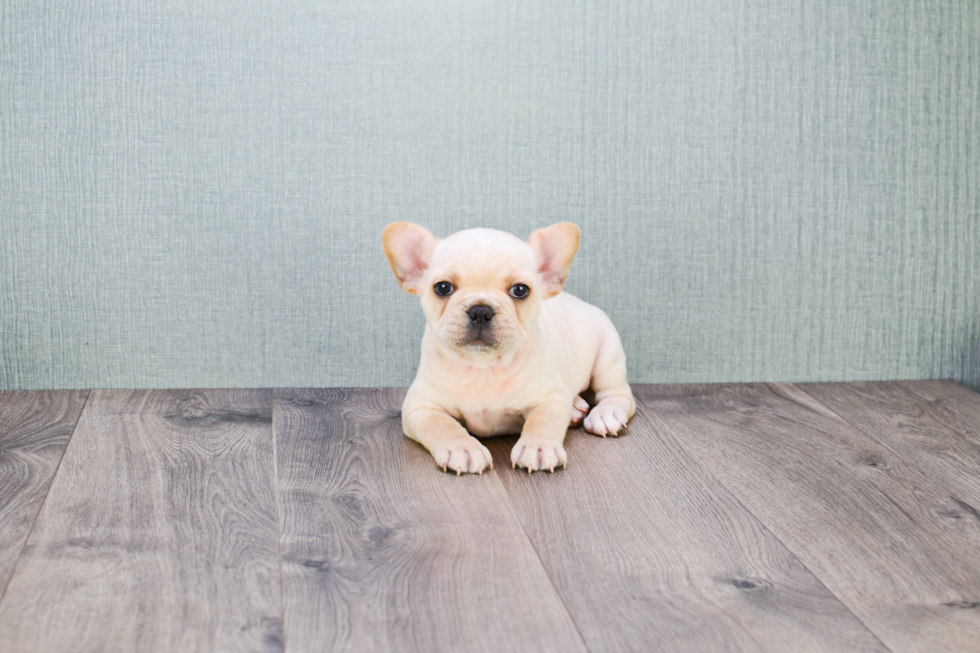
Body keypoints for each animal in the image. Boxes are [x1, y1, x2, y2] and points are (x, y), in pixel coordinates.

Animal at [382, 223, 636, 474]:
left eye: (520, 290)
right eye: (443, 288)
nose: (480, 310)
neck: (482, 367)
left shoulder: (550, 397)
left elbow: (542, 420)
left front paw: (539, 446)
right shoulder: (420, 407)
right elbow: (442, 425)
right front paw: (462, 448)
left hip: (608, 355)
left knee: (618, 395)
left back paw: (606, 414)